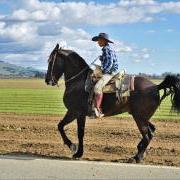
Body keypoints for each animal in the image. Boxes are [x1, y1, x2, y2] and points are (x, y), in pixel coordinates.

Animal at [45, 44, 180, 163]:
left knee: (147, 135)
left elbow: (72, 130)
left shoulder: (75, 112)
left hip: (140, 118)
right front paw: (76, 150)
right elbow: (65, 127)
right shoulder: (76, 113)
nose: (47, 80)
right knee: (151, 131)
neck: (79, 81)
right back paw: (139, 152)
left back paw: (137, 157)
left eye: (50, 61)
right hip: (142, 117)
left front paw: (74, 149)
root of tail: (155, 86)